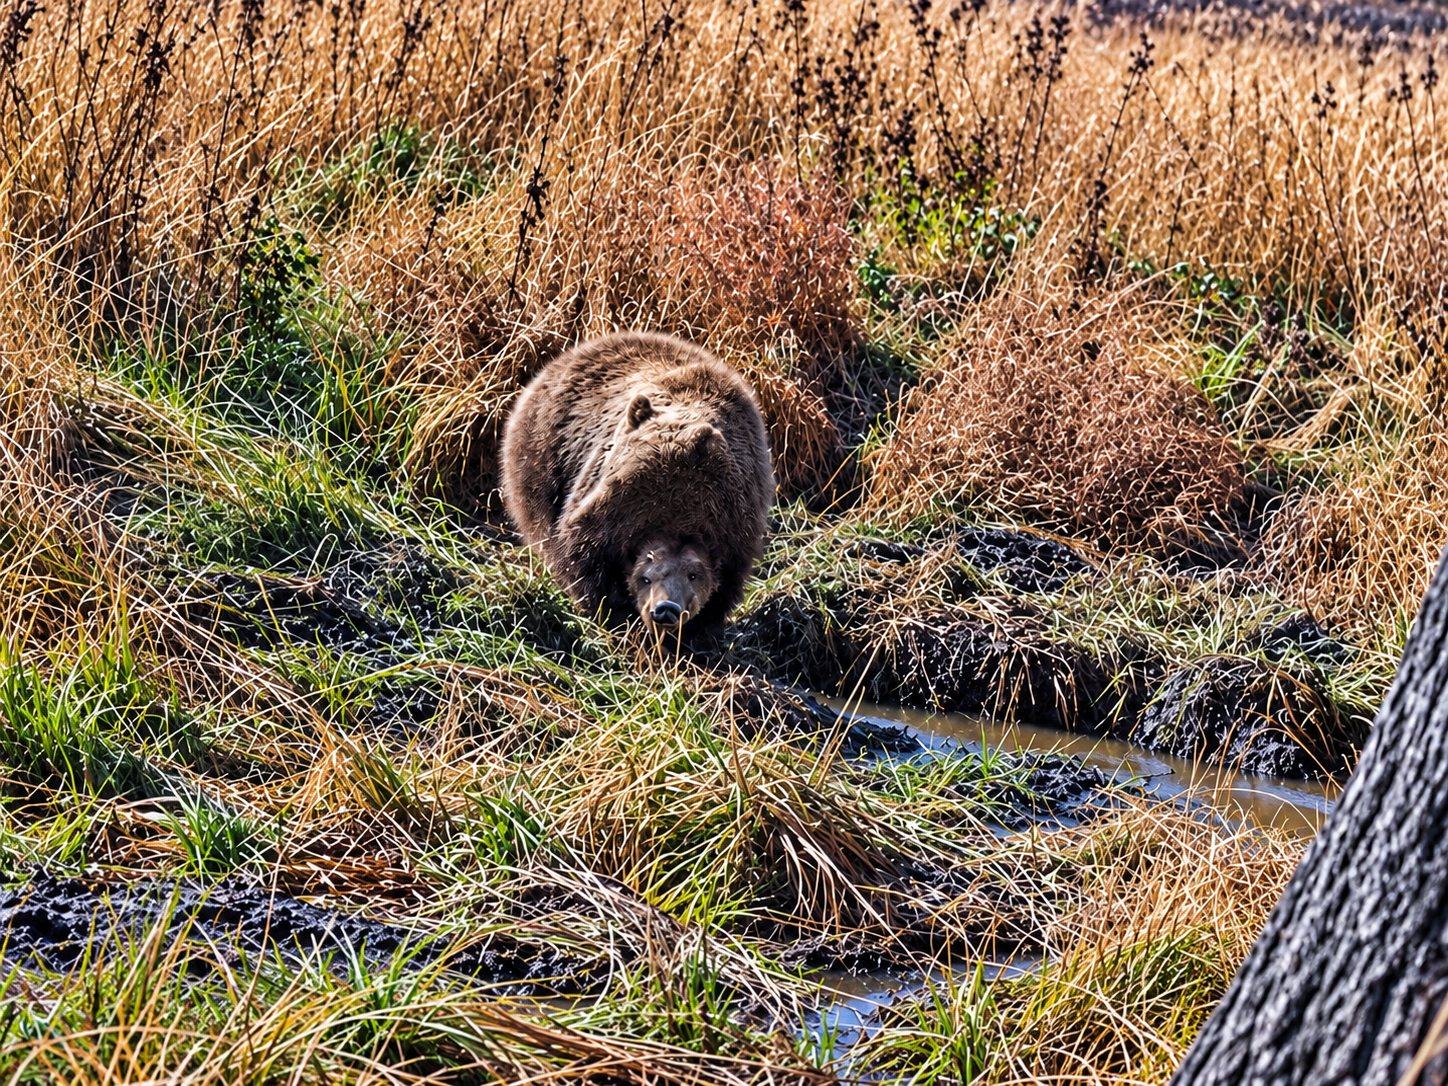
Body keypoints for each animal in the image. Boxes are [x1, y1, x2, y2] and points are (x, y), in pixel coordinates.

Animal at [499, 332, 773, 642]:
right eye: (646, 578)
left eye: (693, 576)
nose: (665, 609)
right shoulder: (605, 516)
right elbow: (588, 571)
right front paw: (618, 620)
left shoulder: (737, 527)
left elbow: (721, 592)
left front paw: (699, 633)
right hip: (544, 461)